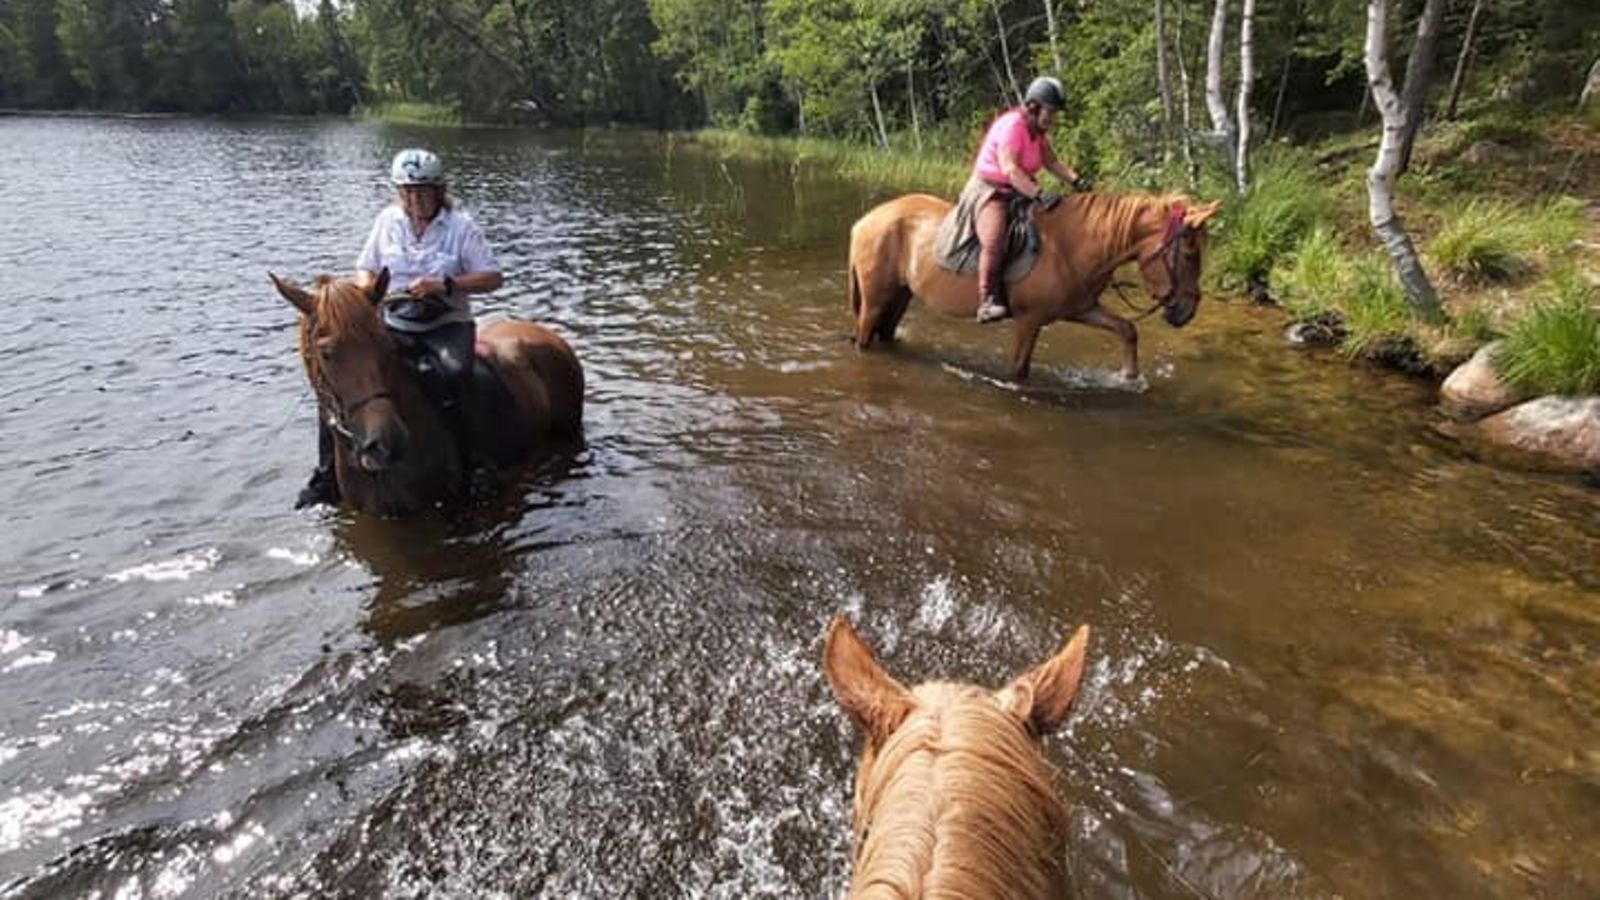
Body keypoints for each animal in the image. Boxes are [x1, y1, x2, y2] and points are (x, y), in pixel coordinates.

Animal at [844, 192, 1216, 377]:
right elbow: (1019, 370)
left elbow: (1127, 330)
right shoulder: (1029, 319)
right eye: (1189, 253)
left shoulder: (1081, 308)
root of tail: (864, 221)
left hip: (899, 297)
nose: (1187, 311)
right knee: (864, 337)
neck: (1068, 246)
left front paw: (1129, 377)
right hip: (875, 299)